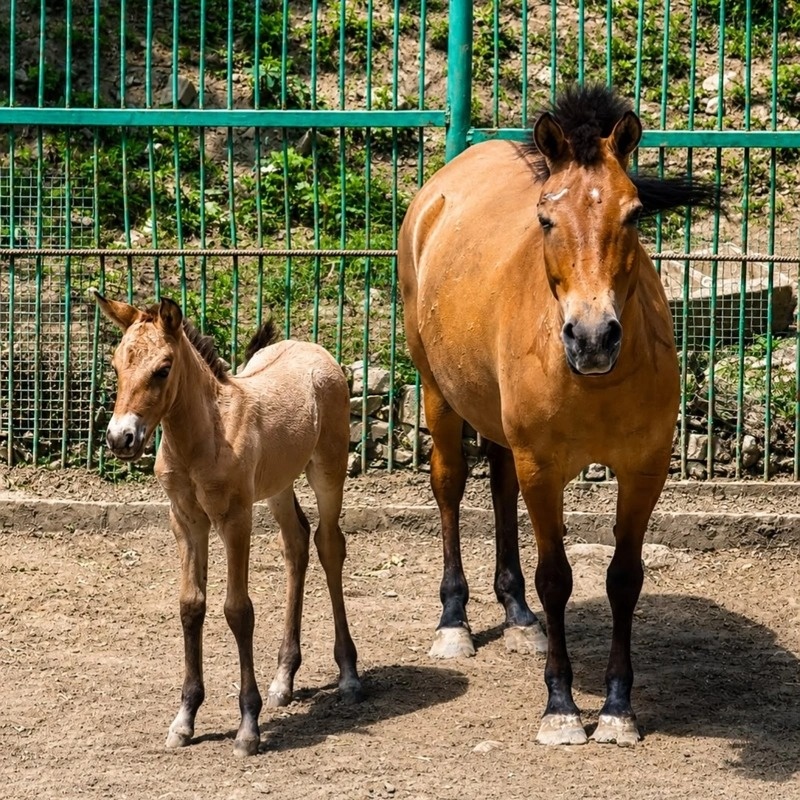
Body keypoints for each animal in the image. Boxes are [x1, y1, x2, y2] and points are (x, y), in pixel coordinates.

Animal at [92, 291, 362, 756]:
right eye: (115, 365)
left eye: (163, 368)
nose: (120, 438)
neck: (202, 438)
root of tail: (313, 349)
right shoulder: (185, 520)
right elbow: (190, 606)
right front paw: (184, 719)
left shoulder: (235, 519)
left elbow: (238, 610)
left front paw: (248, 726)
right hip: (277, 485)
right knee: (296, 544)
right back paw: (283, 679)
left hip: (328, 470)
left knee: (329, 544)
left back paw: (347, 674)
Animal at [397, 84, 718, 746]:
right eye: (546, 218)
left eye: (634, 214)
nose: (592, 337)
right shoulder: (543, 468)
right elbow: (558, 579)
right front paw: (562, 707)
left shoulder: (645, 469)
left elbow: (624, 578)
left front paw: (618, 708)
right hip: (438, 393)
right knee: (449, 487)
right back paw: (454, 620)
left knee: (498, 485)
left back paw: (518, 614)